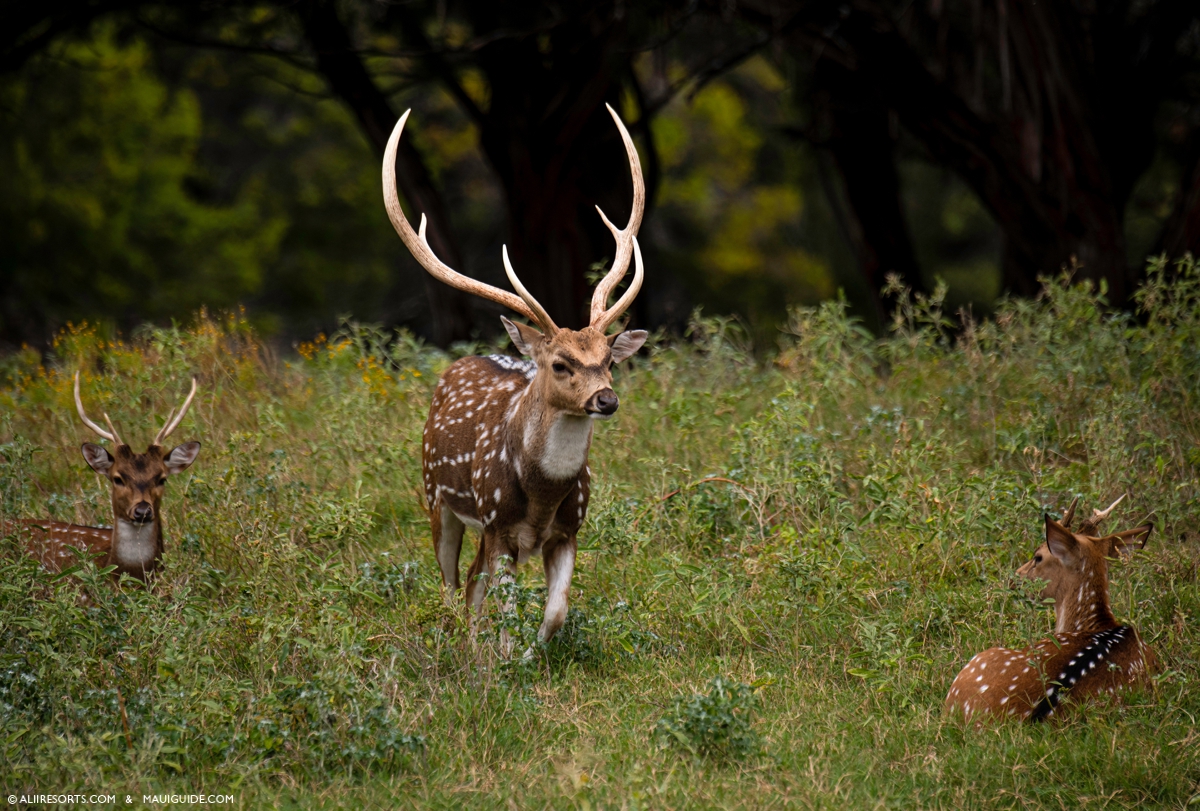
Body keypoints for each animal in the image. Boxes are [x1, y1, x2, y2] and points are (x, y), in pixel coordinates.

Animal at [382, 104, 648, 645]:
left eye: (609, 360)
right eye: (560, 363)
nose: (606, 400)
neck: (541, 498)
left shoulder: (569, 530)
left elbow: (555, 611)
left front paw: (533, 650)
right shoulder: (499, 525)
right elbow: (502, 610)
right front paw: (505, 654)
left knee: (471, 583)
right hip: (435, 494)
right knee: (451, 582)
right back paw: (458, 639)